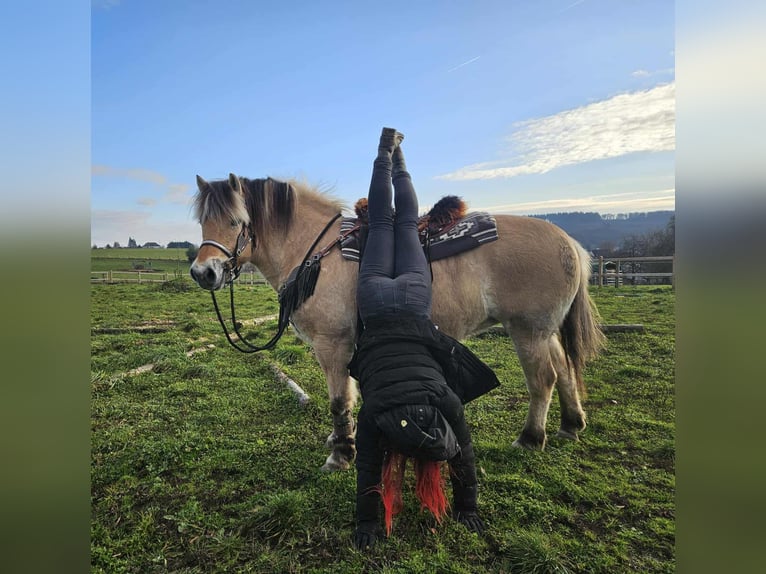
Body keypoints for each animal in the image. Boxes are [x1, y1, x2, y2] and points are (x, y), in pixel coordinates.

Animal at [190, 174, 605, 472]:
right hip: (546, 332)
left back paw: (531, 438)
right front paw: (347, 441)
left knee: (544, 379)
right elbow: (354, 396)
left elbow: (339, 400)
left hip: (528, 331)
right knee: (564, 370)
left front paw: (341, 455)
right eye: (202, 222)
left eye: (236, 221)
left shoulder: (332, 345)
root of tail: (570, 243)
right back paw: (571, 425)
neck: (317, 252)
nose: (203, 273)